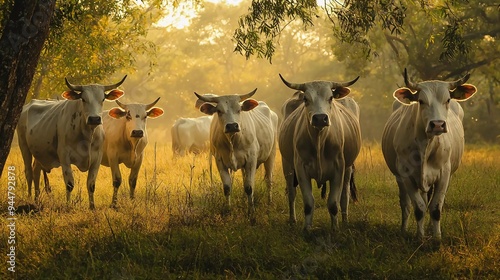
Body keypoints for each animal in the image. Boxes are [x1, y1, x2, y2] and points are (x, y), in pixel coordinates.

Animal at [17, 75, 127, 209]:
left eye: (102, 99)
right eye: (83, 99)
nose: (94, 119)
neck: (87, 135)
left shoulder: (97, 157)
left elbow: (91, 184)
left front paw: (92, 207)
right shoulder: (64, 156)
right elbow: (69, 183)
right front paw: (68, 205)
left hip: (39, 152)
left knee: (36, 172)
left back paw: (36, 200)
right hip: (24, 146)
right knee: (28, 173)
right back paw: (29, 198)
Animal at [194, 89, 280, 223]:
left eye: (239, 110)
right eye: (219, 111)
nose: (232, 126)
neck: (233, 140)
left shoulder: (251, 159)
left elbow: (249, 187)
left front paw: (251, 213)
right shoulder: (220, 161)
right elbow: (227, 187)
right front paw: (228, 210)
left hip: (271, 155)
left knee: (268, 180)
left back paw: (269, 203)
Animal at [280, 74, 362, 232]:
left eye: (330, 97)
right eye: (306, 99)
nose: (319, 118)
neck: (319, 141)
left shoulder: (339, 168)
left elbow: (333, 203)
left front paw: (335, 229)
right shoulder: (300, 168)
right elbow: (308, 203)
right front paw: (306, 230)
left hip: (348, 168)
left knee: (345, 195)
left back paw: (345, 221)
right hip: (287, 165)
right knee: (292, 194)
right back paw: (292, 220)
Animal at [382, 69, 476, 240]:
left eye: (447, 99)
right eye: (421, 101)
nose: (437, 124)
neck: (426, 144)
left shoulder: (444, 174)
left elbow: (436, 208)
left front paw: (436, 238)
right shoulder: (406, 175)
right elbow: (419, 208)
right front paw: (420, 237)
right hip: (401, 179)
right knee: (406, 204)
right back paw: (404, 230)